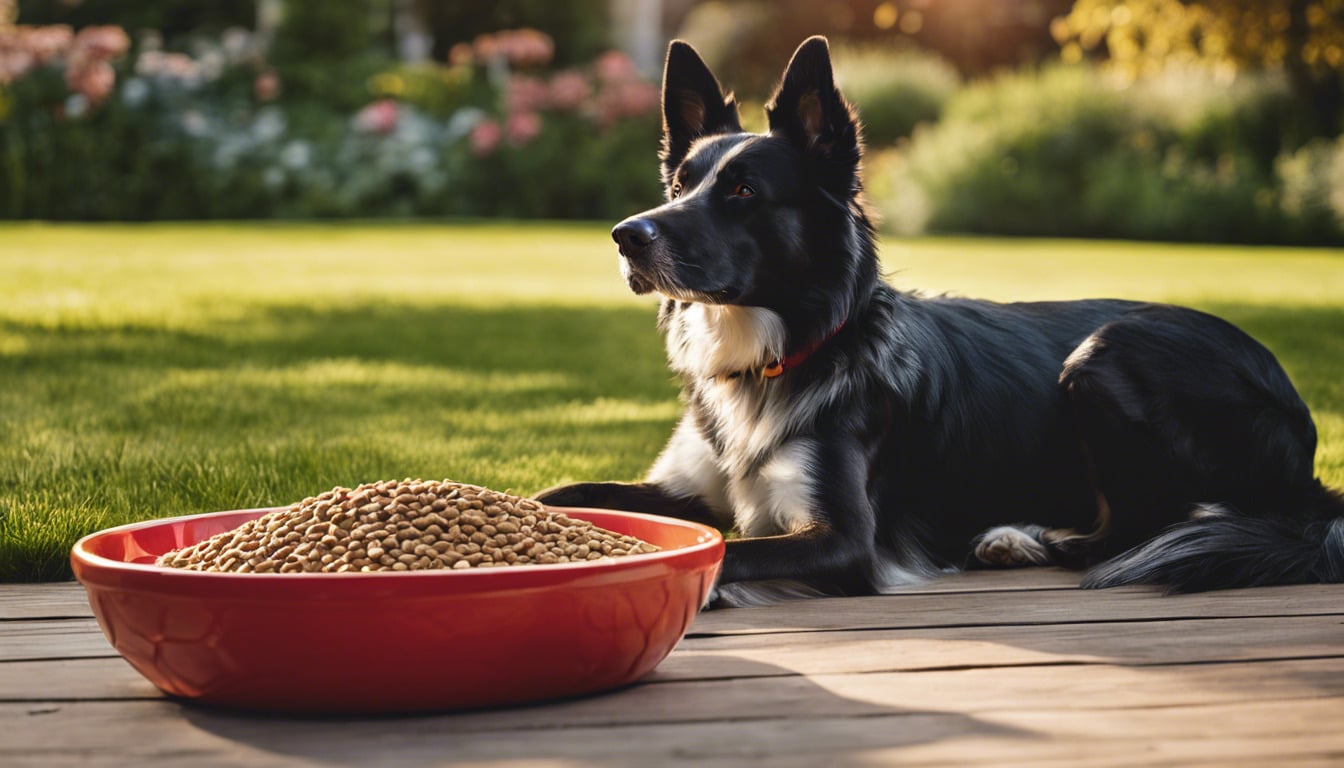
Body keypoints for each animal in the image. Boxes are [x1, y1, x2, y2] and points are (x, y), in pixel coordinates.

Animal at [537, 35, 1344, 605]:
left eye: (742, 191)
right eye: (680, 185)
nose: (627, 236)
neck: (780, 353)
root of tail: (1295, 408)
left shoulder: (844, 539)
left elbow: (730, 550)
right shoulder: (688, 488)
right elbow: (558, 499)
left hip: (1105, 355)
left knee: (1143, 527)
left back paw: (1025, 540)